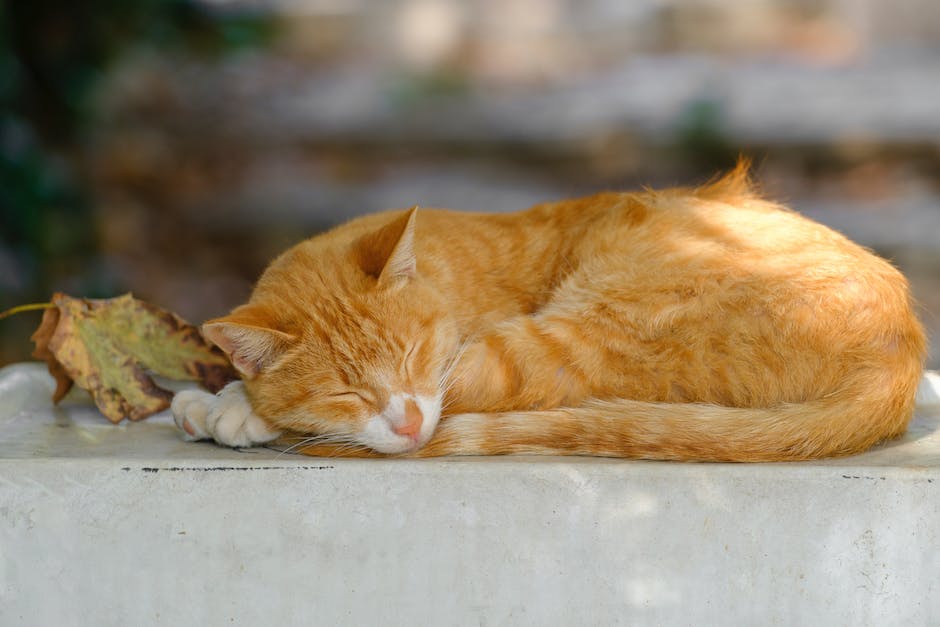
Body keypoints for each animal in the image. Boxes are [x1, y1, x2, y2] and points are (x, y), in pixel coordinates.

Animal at [173, 163, 928, 462]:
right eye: (343, 390)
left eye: (413, 355)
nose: (409, 422)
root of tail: (902, 350)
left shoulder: (451, 373)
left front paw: (232, 404)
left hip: (564, 338)